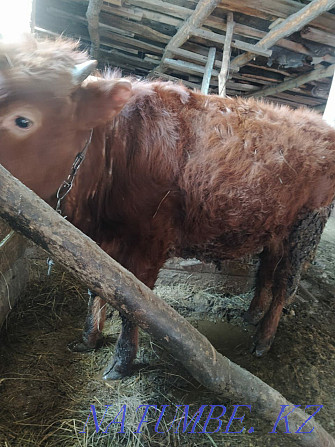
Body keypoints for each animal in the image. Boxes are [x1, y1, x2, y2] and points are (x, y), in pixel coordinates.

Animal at [0, 38, 335, 380]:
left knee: (285, 283)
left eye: (22, 120)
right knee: (266, 270)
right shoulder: (99, 243)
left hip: (307, 228)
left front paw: (122, 361)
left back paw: (263, 340)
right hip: (276, 228)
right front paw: (89, 339)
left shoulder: (149, 243)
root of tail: (315, 122)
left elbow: (134, 305)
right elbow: (99, 288)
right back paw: (252, 315)